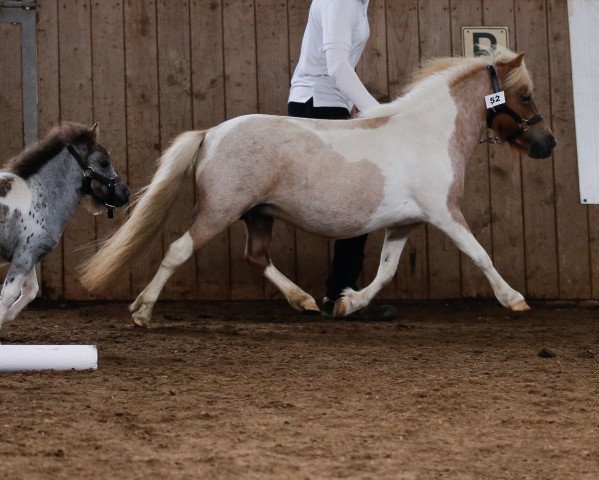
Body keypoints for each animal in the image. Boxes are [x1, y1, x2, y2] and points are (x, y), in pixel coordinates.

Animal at [81, 48, 556, 326]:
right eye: (526, 95)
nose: (547, 144)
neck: (429, 132)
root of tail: (211, 133)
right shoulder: (444, 213)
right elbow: (480, 254)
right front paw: (514, 299)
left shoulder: (403, 223)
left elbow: (385, 271)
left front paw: (349, 303)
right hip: (220, 211)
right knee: (179, 250)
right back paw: (142, 310)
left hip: (258, 215)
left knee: (257, 257)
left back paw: (305, 301)